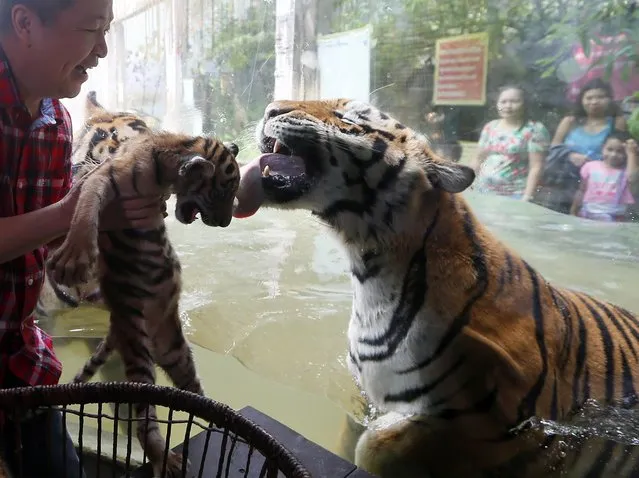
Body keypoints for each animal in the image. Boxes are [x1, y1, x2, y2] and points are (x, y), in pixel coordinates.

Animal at [234, 99, 639, 476]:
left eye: (350, 119)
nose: (270, 108)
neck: (371, 274)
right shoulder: (364, 399)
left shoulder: (514, 427)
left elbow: (377, 441)